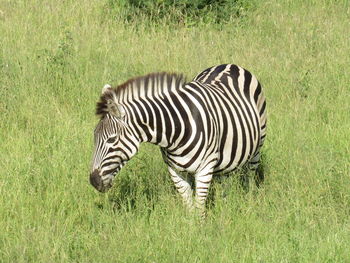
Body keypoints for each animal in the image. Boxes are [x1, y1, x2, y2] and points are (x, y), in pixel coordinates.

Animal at [89, 64, 266, 217]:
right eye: (94, 137)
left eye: (112, 140)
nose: (93, 181)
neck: (176, 131)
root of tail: (229, 64)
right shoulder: (175, 170)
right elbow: (189, 206)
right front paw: (190, 228)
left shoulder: (205, 168)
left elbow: (199, 207)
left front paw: (201, 232)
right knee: (225, 182)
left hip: (257, 148)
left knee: (250, 177)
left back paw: (250, 204)